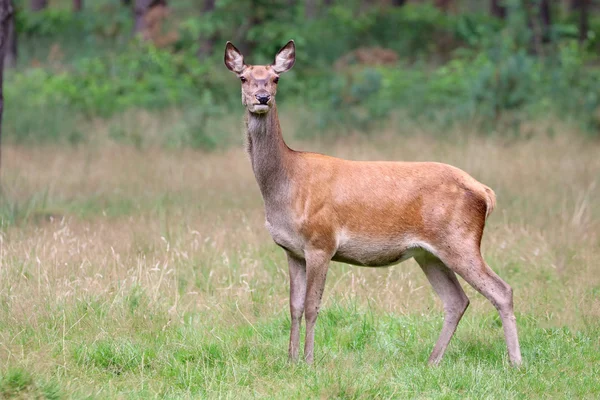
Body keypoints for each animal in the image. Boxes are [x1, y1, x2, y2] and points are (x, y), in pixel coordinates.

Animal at [223, 39, 524, 366]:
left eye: (275, 78)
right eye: (244, 78)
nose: (262, 97)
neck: (285, 184)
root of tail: (485, 193)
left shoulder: (321, 242)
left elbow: (313, 306)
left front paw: (309, 360)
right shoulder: (292, 250)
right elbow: (294, 306)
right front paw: (290, 359)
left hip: (460, 239)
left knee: (502, 290)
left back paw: (515, 362)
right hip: (428, 253)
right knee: (457, 300)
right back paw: (432, 361)